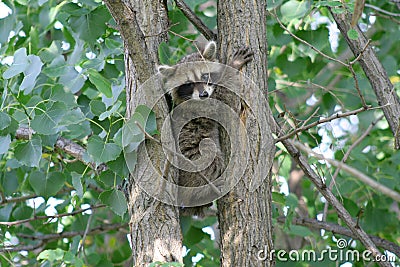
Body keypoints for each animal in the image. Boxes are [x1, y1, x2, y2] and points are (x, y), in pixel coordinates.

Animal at [157, 42, 253, 218]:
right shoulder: (205, 108)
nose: (203, 94)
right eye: (189, 84)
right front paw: (232, 65)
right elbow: (225, 98)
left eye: (204, 76)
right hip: (191, 164)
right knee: (209, 152)